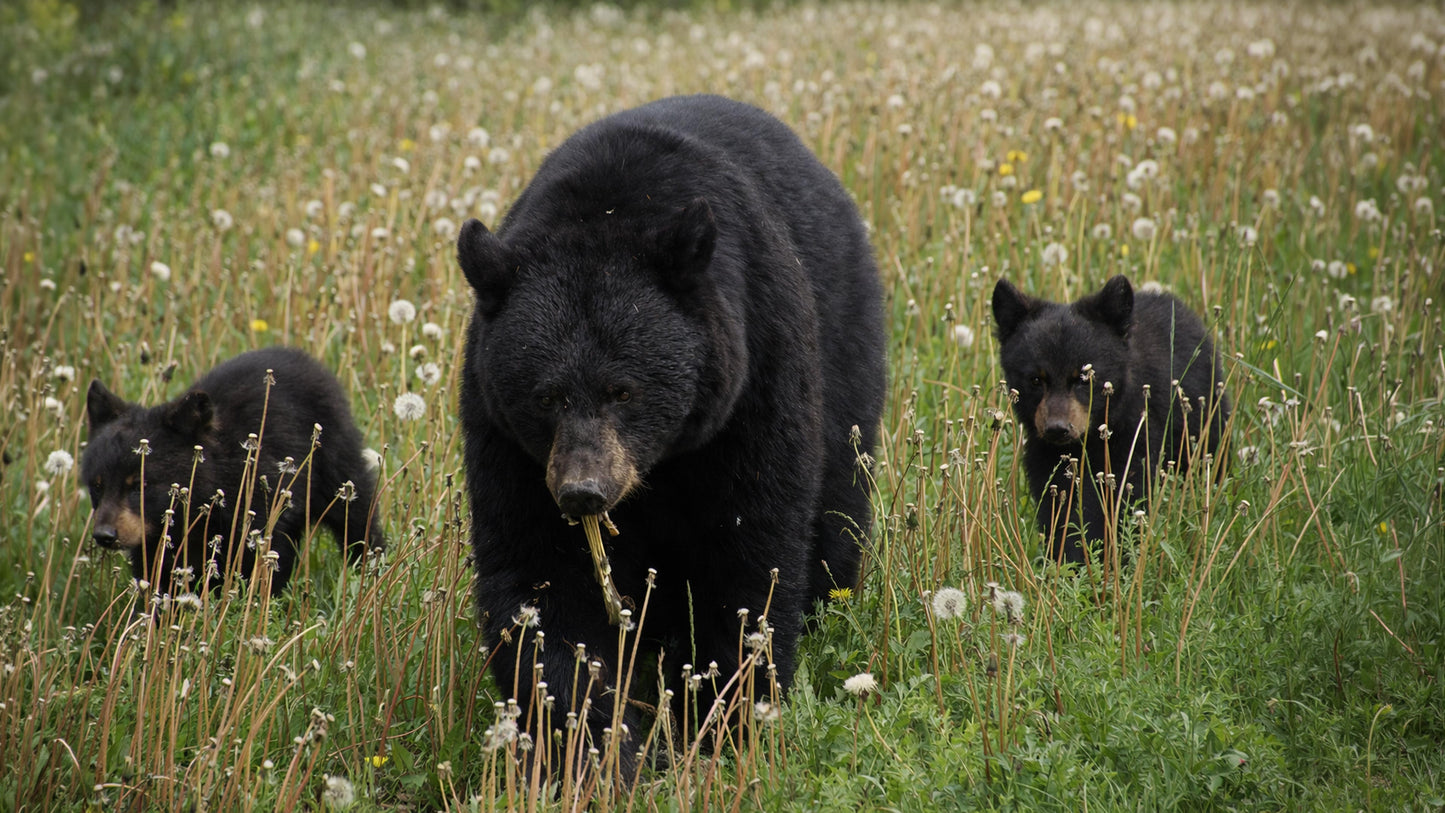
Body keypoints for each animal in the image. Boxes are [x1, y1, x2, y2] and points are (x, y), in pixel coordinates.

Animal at [81, 346, 385, 598]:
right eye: (97, 485)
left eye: (140, 485)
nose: (105, 535)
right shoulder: (154, 538)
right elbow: (156, 578)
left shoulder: (254, 509)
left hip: (334, 464)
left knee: (356, 515)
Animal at [456, 94, 886, 777]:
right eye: (546, 396)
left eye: (622, 390)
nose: (583, 491)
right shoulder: (506, 436)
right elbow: (539, 575)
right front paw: (600, 750)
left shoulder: (753, 378)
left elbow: (747, 552)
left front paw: (725, 724)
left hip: (846, 352)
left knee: (837, 509)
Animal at [991, 275, 1229, 563]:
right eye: (1036, 379)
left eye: (1084, 377)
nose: (1057, 429)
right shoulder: (1044, 454)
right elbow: (1056, 503)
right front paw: (1065, 558)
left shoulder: (1132, 436)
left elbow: (1120, 498)